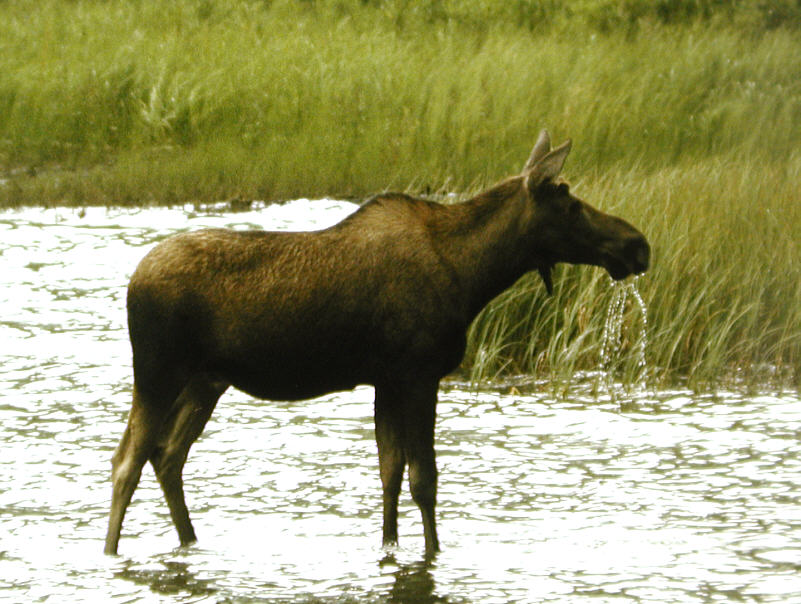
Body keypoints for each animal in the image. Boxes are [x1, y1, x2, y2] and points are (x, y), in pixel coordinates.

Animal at [103, 131, 648, 556]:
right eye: (571, 204)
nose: (638, 245)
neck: (473, 274)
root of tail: (131, 282)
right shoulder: (419, 373)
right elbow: (424, 480)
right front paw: (433, 552)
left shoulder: (386, 380)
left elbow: (389, 473)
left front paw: (390, 549)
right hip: (157, 371)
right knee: (127, 461)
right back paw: (111, 554)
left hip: (206, 381)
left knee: (167, 456)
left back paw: (190, 542)